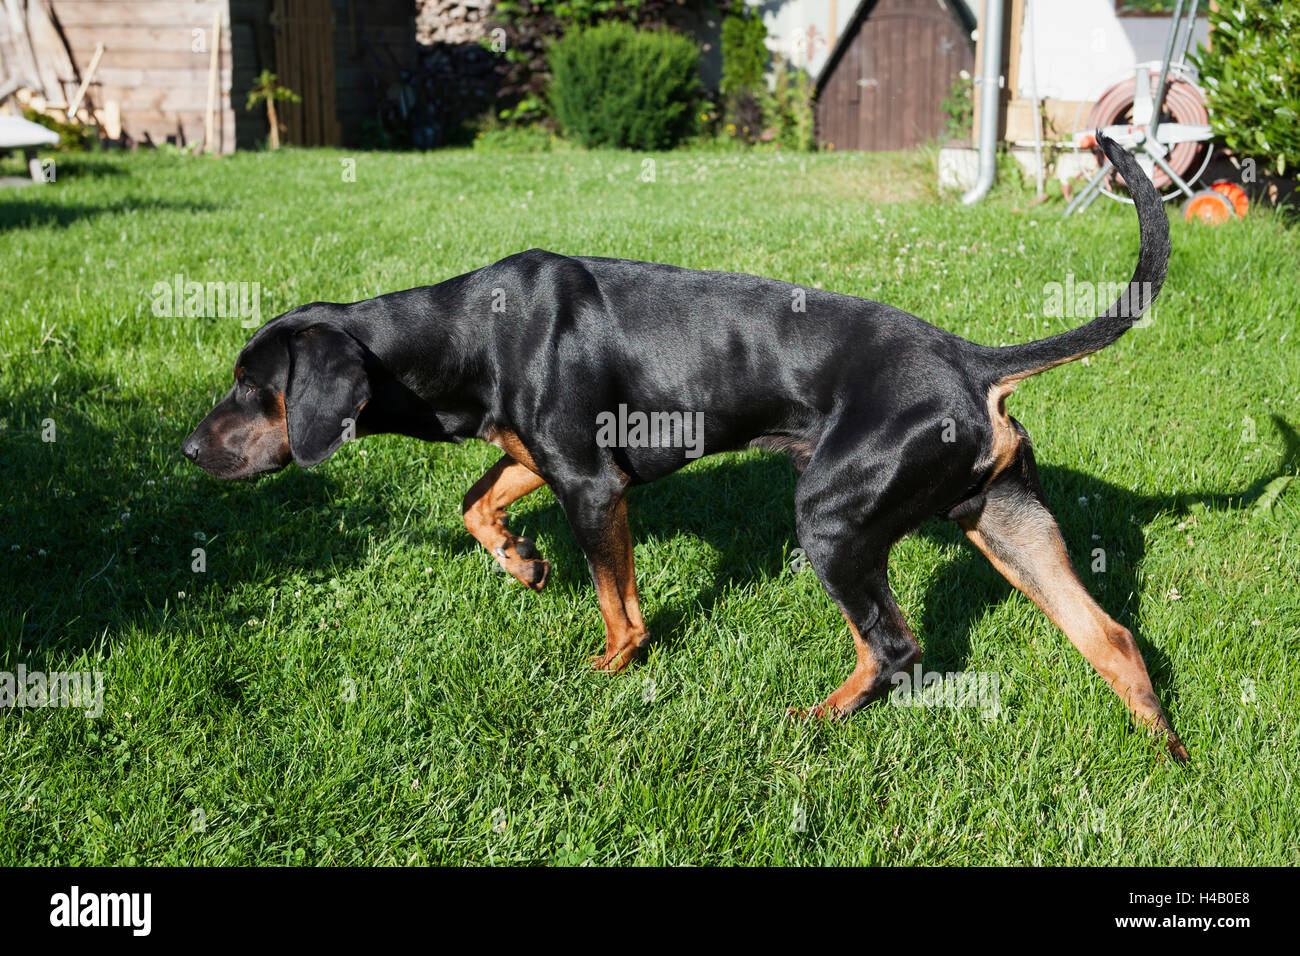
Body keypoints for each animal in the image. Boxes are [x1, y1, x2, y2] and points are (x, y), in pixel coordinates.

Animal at [185, 132, 1190, 764]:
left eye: (252, 386)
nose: (191, 452)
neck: (467, 329)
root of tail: (971, 360)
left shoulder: (592, 485)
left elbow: (619, 609)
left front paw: (606, 671)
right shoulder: (543, 456)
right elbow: (476, 503)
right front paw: (521, 562)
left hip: (833, 519)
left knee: (896, 646)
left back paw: (815, 718)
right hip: (1006, 521)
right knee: (1113, 639)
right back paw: (1168, 754)